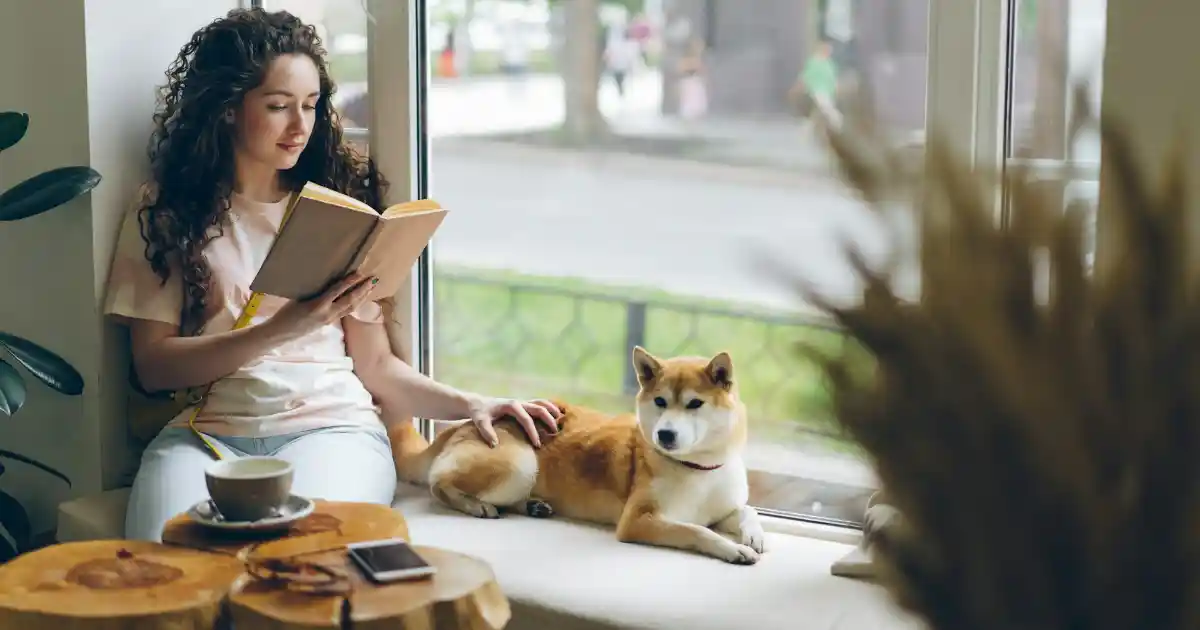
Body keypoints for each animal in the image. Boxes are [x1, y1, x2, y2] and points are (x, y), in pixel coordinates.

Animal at [393, 345, 768, 561]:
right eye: (661, 402)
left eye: (694, 404)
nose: (665, 433)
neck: (698, 468)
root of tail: (465, 424)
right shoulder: (638, 521)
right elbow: (697, 531)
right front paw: (733, 549)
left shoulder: (723, 507)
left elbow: (746, 511)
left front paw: (754, 535)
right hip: (520, 465)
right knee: (439, 483)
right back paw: (476, 505)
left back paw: (533, 506)